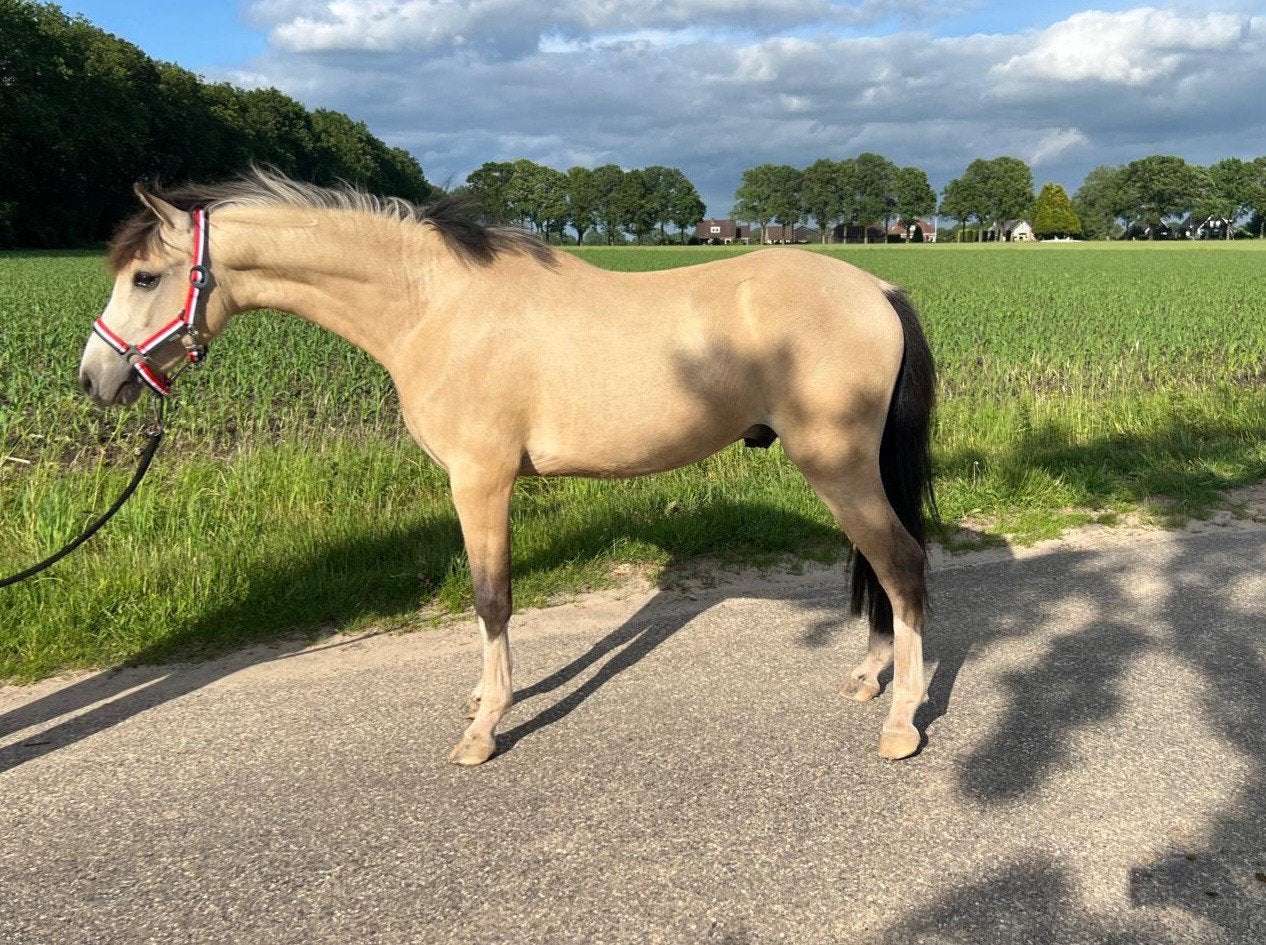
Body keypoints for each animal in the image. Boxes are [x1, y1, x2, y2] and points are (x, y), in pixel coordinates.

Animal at [78, 170, 937, 766]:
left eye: (145, 277)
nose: (95, 379)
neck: (433, 306)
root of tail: (879, 287)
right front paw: (482, 701)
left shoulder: (480, 479)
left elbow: (491, 597)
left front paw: (486, 726)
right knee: (879, 565)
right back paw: (870, 677)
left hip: (837, 463)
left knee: (900, 563)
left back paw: (902, 720)